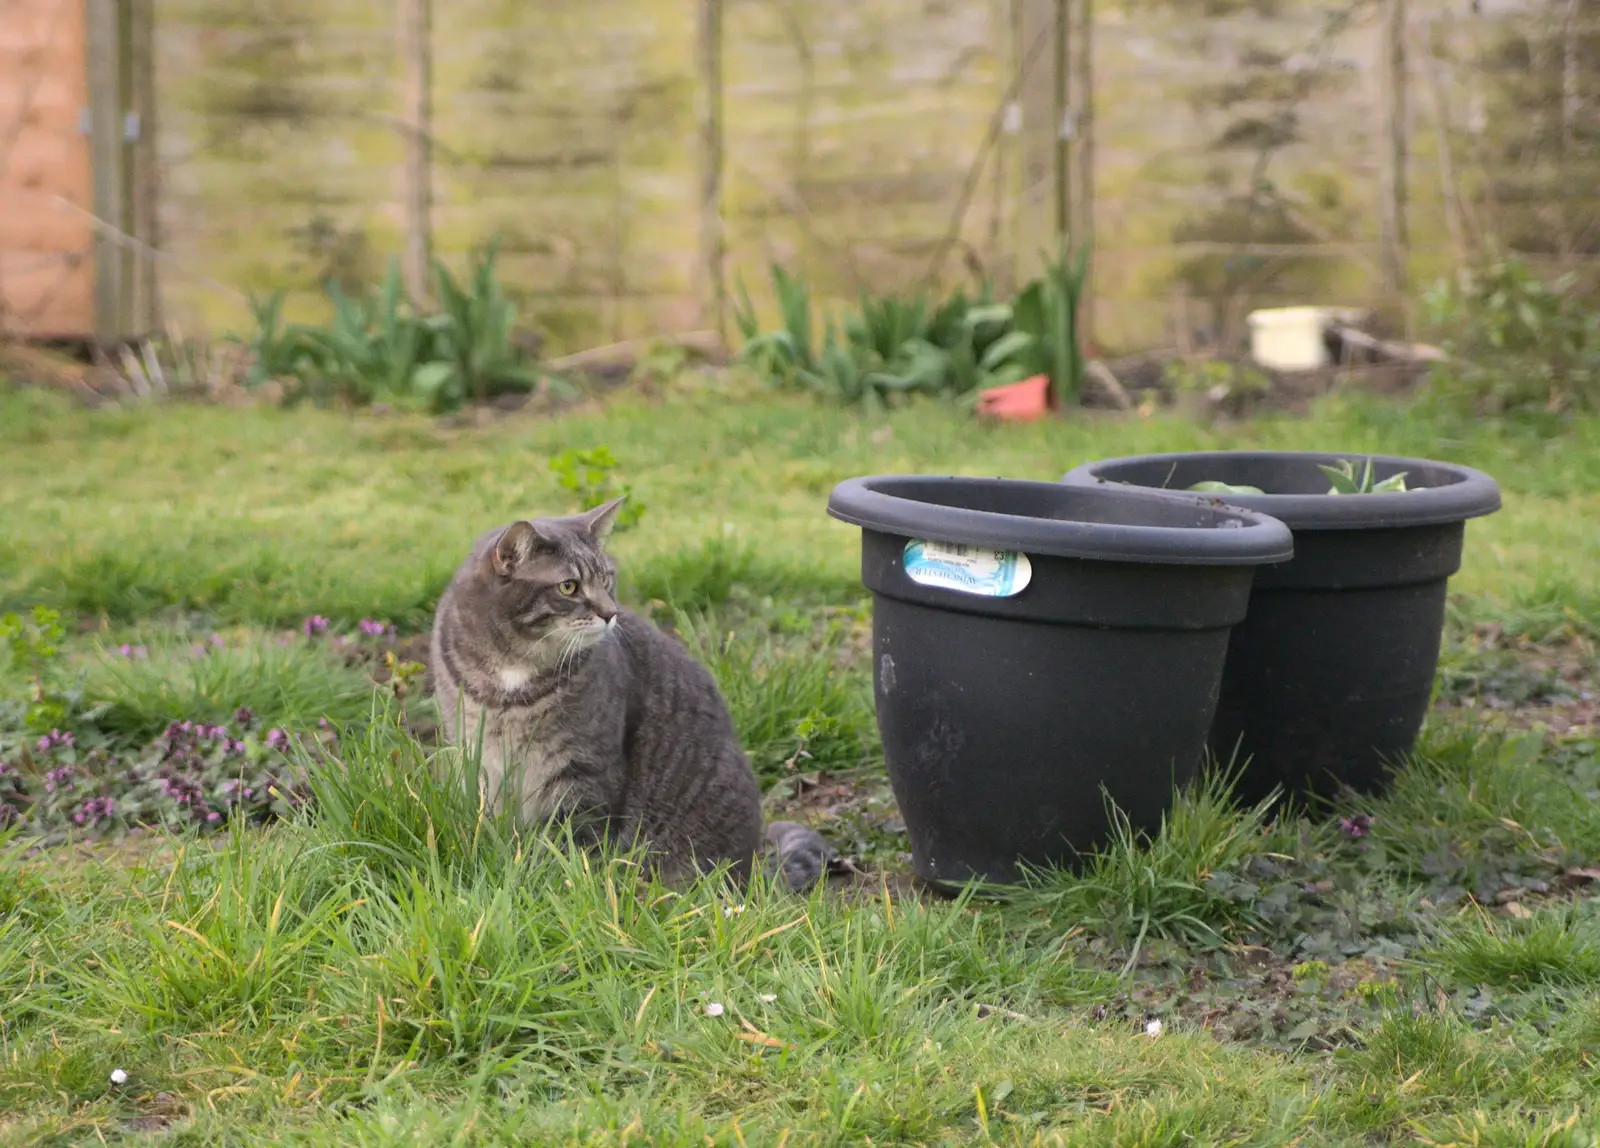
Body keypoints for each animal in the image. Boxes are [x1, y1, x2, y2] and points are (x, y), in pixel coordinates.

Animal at [432, 502, 832, 888]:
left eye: (607, 579)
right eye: (568, 587)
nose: (610, 614)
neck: (515, 670)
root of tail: (751, 871)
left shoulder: (583, 770)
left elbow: (570, 843)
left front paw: (555, 883)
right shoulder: (479, 760)